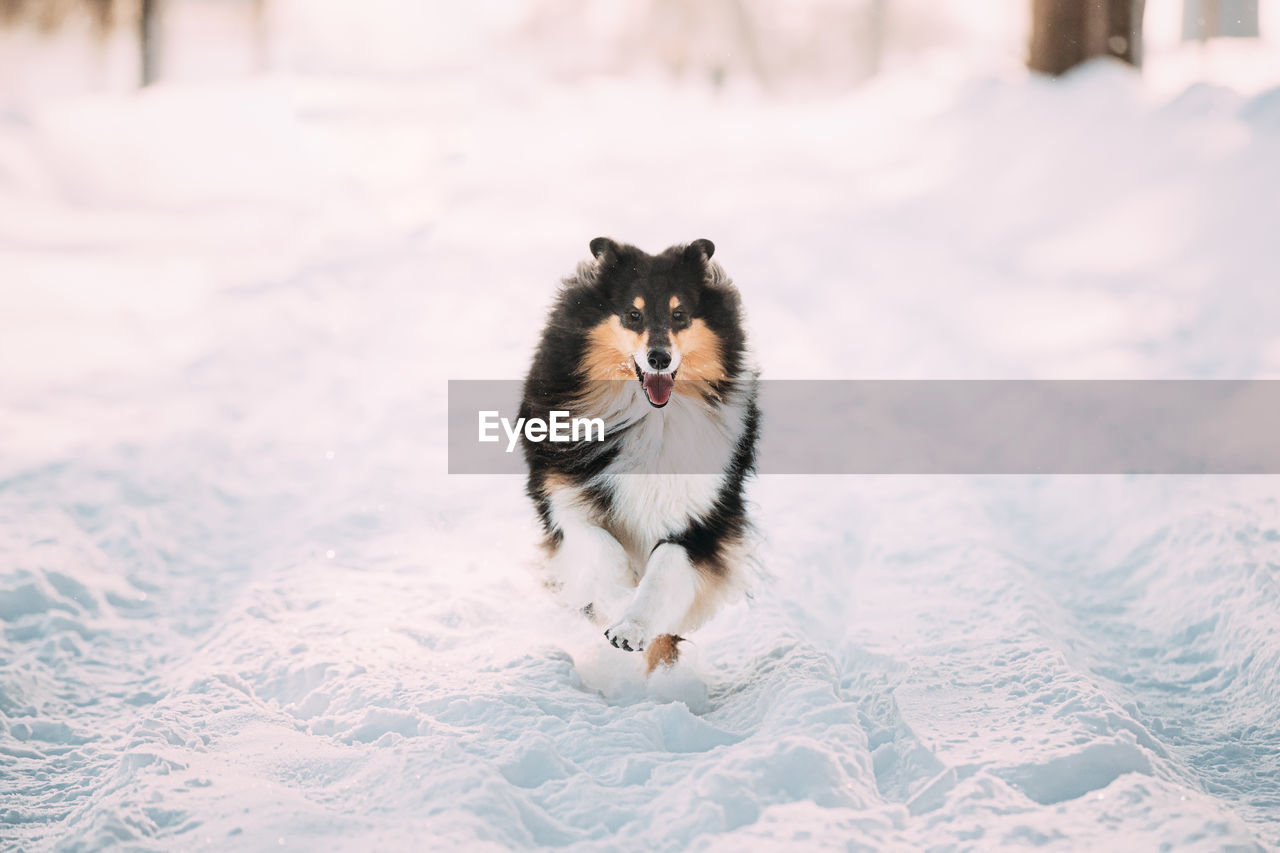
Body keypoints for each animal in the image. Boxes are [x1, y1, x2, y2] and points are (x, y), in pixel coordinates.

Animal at [519, 236, 757, 671]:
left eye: (680, 315)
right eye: (633, 314)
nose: (659, 358)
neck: (650, 417)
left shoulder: (702, 519)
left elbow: (664, 572)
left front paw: (632, 628)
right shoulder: (561, 493)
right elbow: (600, 546)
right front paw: (618, 598)